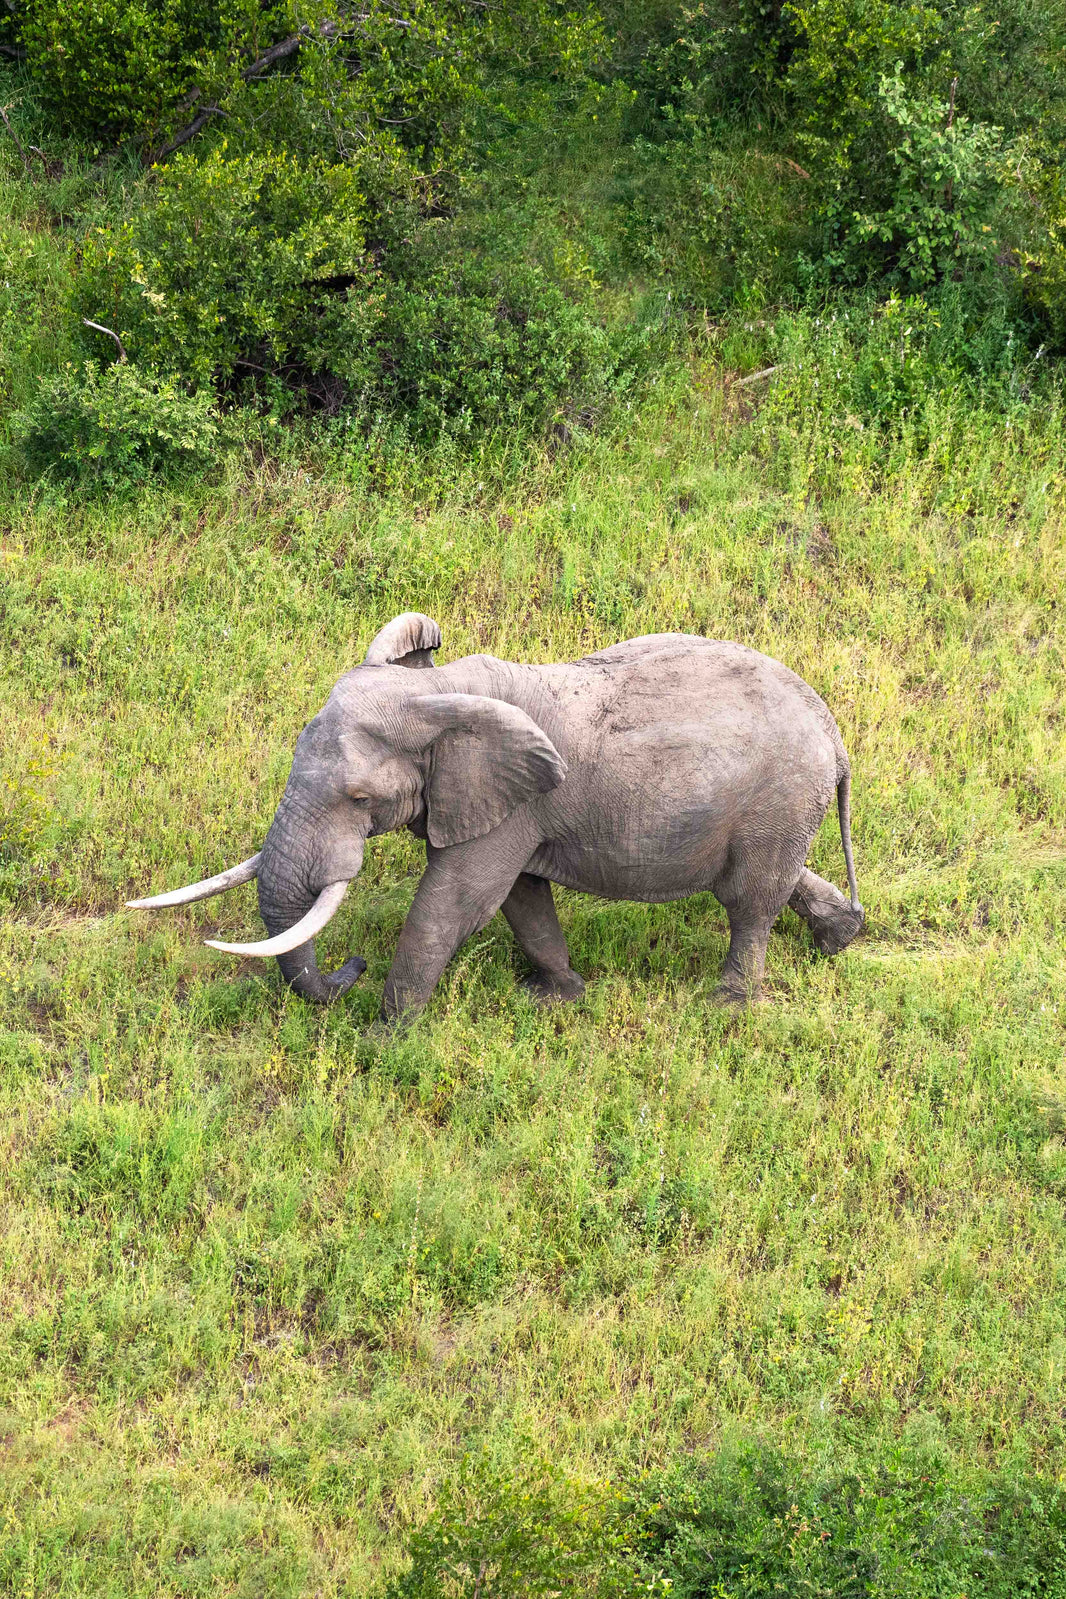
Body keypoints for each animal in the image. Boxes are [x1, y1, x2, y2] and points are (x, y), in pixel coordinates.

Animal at [128, 613, 865, 1020]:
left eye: (360, 799)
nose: (351, 967)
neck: (437, 688)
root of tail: (835, 735)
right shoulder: (512, 808)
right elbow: (520, 897)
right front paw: (559, 998)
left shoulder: (510, 804)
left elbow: (455, 901)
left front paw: (383, 1039)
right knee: (774, 880)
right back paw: (840, 938)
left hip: (777, 798)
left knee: (749, 901)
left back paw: (726, 1005)